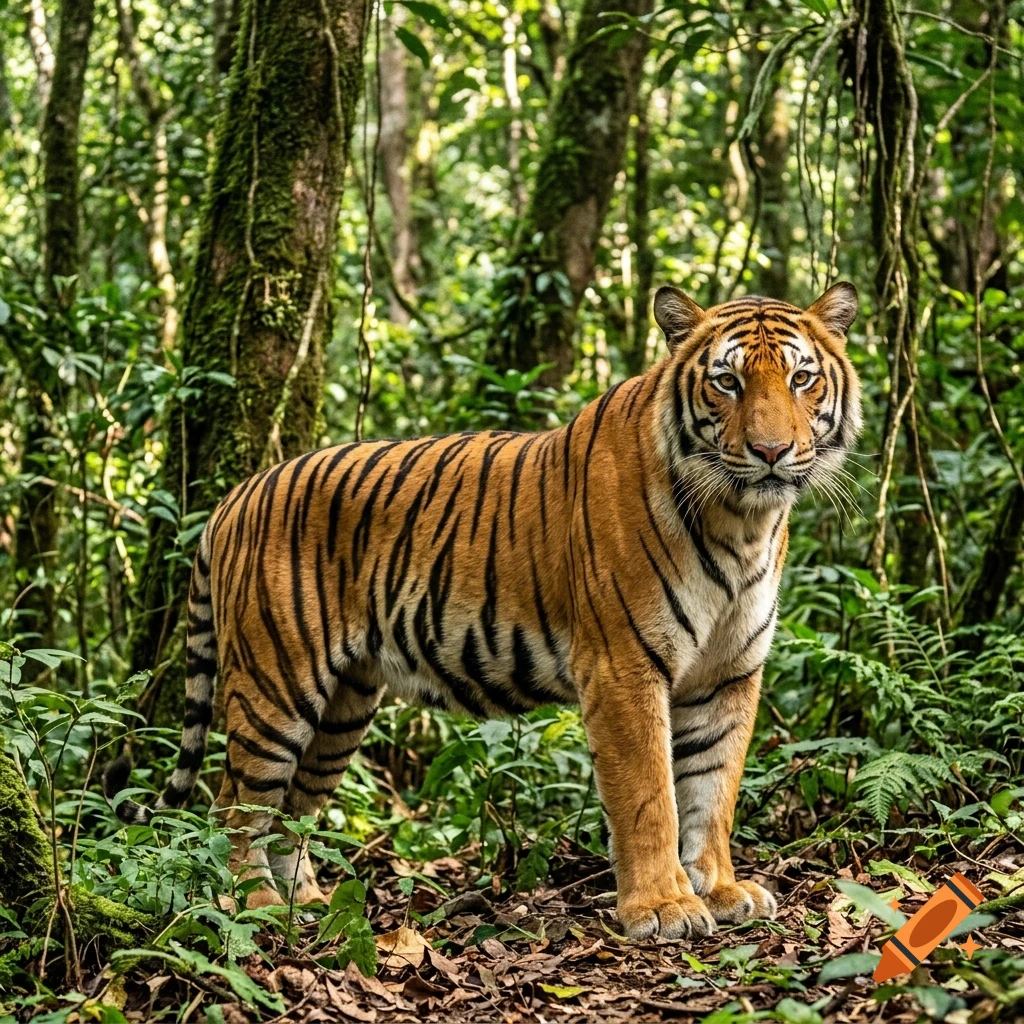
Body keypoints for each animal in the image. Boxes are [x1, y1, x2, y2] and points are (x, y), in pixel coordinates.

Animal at [105, 282, 861, 940]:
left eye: (801, 379)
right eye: (727, 383)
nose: (771, 452)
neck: (743, 521)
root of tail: (233, 497)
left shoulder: (728, 673)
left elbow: (713, 792)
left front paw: (721, 889)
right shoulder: (624, 666)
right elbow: (651, 796)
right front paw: (663, 907)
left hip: (343, 708)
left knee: (293, 811)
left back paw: (309, 906)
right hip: (275, 688)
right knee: (234, 805)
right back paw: (257, 906)